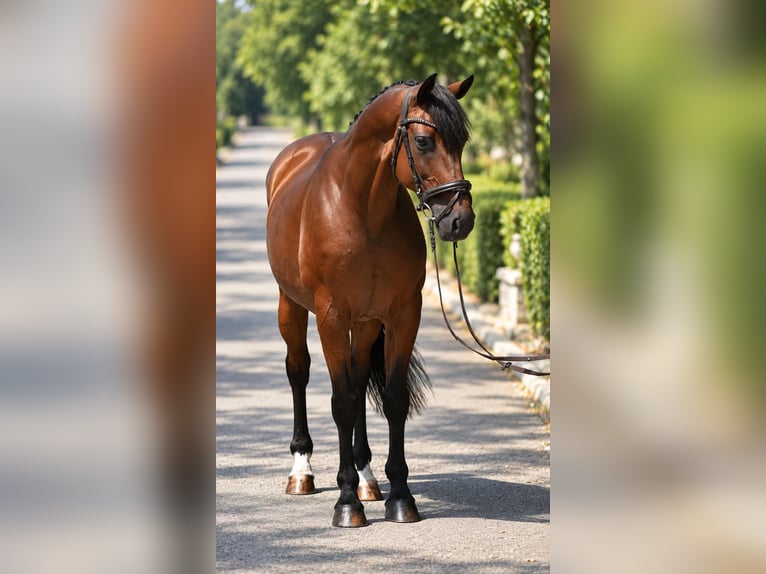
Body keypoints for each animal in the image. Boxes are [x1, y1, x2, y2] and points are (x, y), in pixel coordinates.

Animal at [265, 73, 475, 528]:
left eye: (464, 141)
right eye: (423, 141)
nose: (460, 220)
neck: (361, 209)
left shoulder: (401, 315)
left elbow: (392, 399)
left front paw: (400, 497)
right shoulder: (330, 316)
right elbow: (341, 402)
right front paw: (346, 504)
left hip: (364, 324)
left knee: (360, 377)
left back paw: (366, 476)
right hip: (292, 305)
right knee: (299, 371)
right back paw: (302, 470)